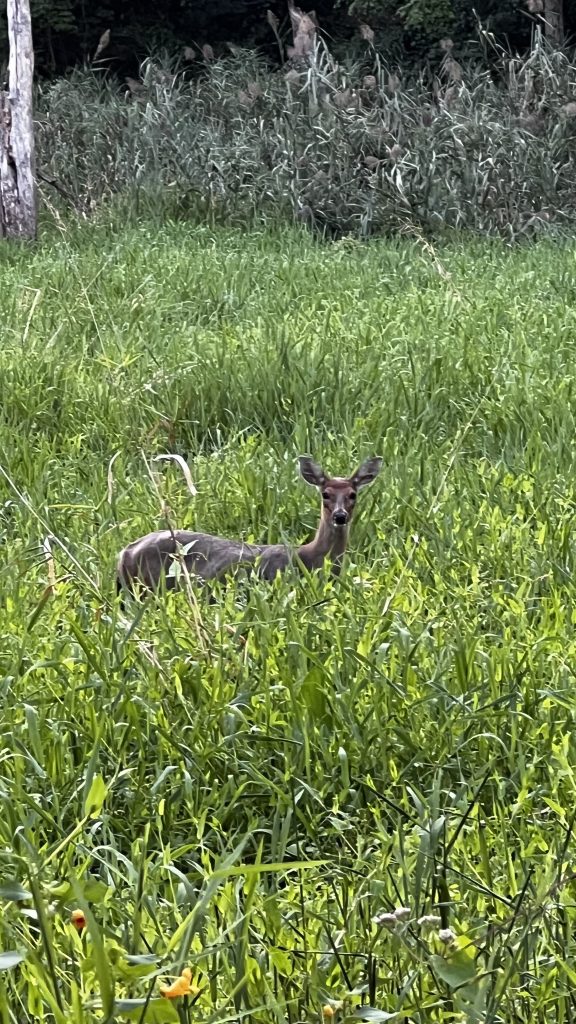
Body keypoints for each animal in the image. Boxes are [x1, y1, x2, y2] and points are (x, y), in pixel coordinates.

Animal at [115, 452, 381, 602]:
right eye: (325, 494)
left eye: (353, 494)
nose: (340, 516)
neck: (309, 557)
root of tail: (124, 552)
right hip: (144, 589)